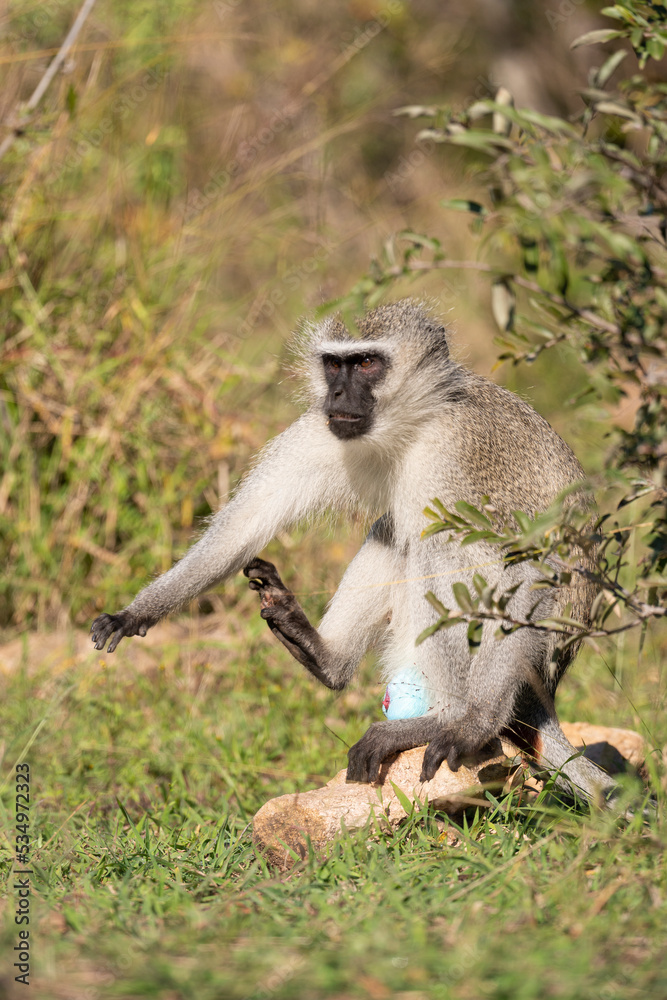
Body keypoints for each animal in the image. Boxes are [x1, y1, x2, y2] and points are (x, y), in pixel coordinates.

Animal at [91, 300, 612, 800]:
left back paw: (444, 719)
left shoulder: (464, 455)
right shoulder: (324, 430)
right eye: (334, 365)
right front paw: (136, 612)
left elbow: (532, 566)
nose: (337, 395)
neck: (414, 427)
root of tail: (547, 688)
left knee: (439, 550)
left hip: (530, 655)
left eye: (366, 363)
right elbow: (244, 525)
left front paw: (471, 724)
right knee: (395, 532)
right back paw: (326, 658)